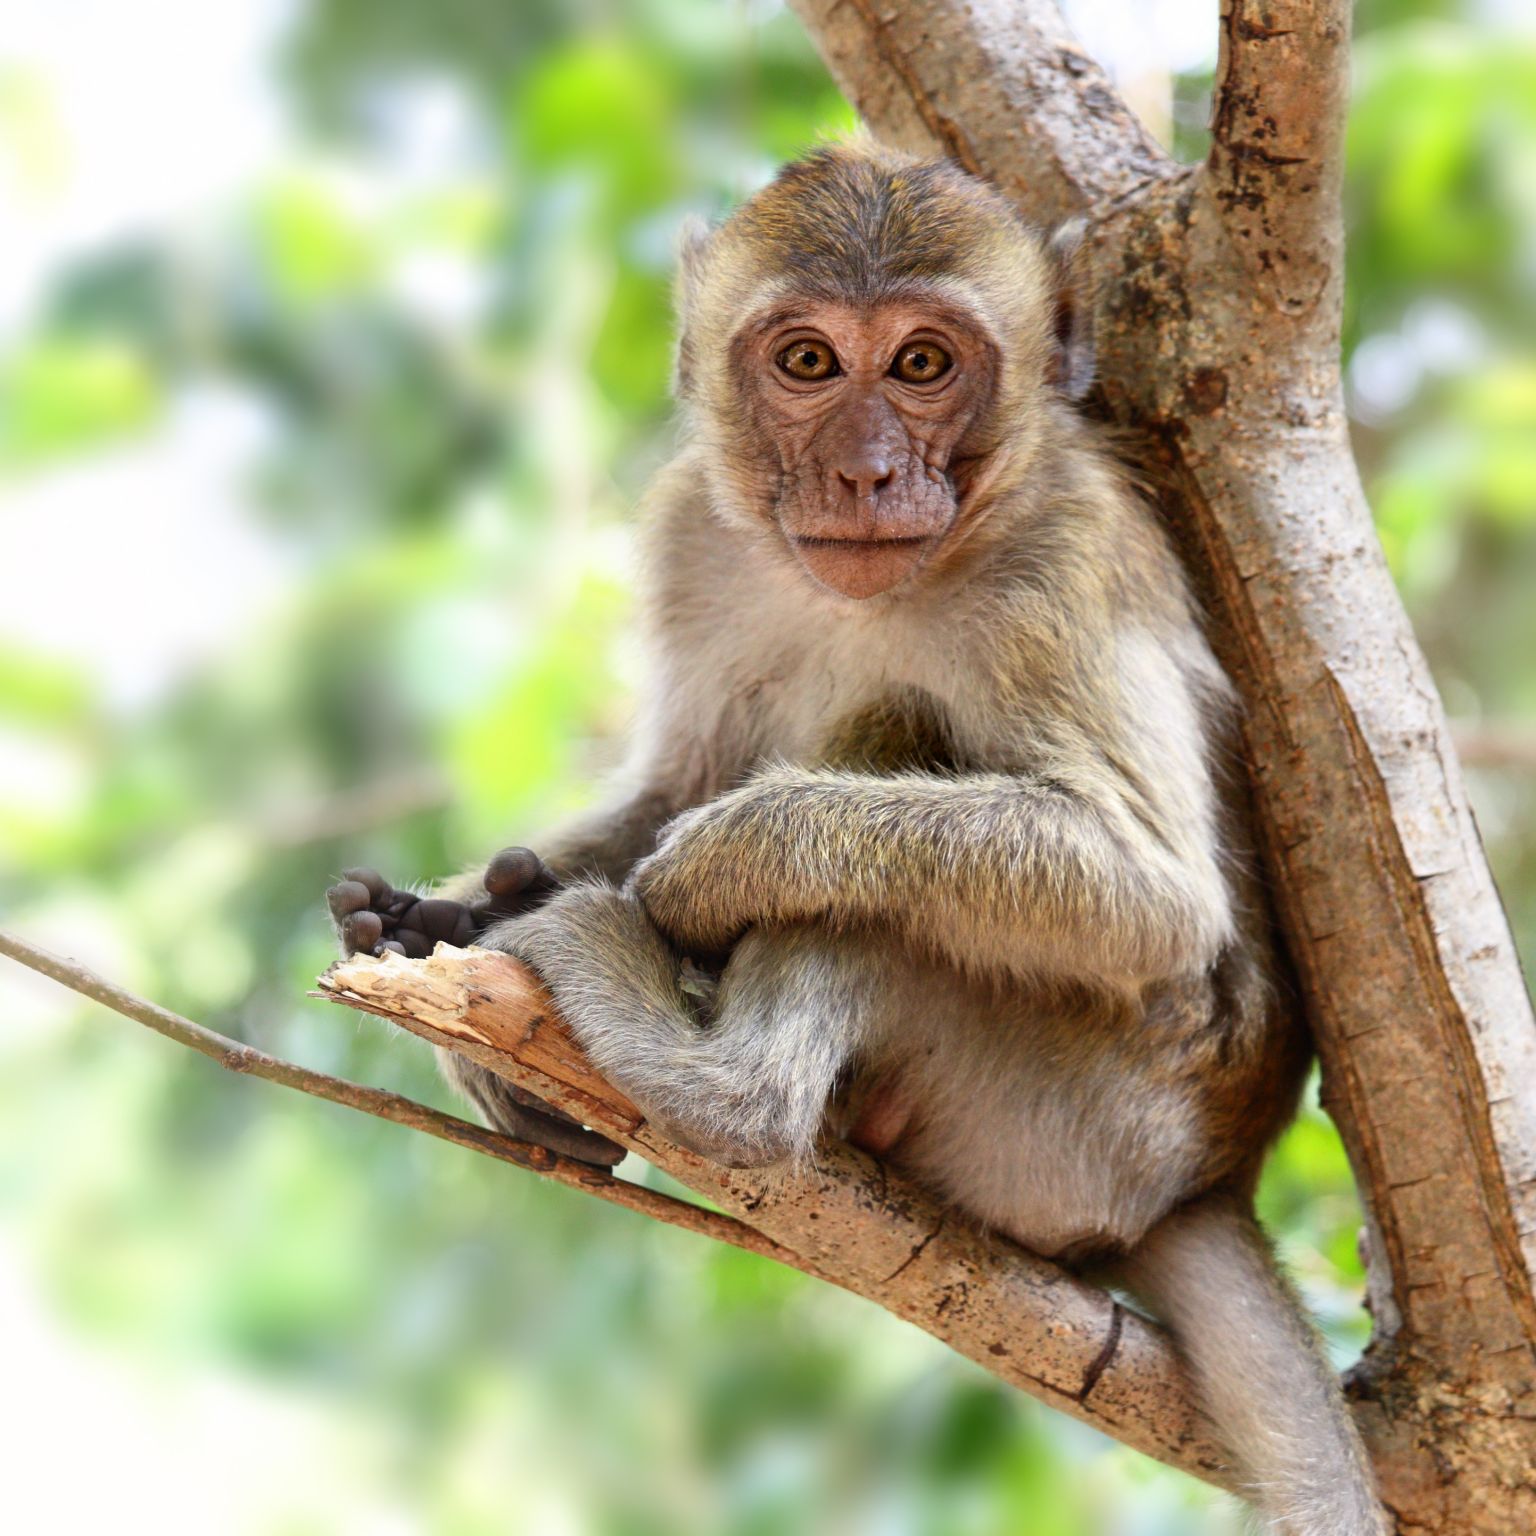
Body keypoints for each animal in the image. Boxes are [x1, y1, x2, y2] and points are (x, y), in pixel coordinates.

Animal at [328, 142, 1387, 1535]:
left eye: (923, 363)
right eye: (810, 361)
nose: (868, 474)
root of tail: (1210, 1177)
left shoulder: (1062, 565)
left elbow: (1150, 895)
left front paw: (711, 869)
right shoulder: (691, 532)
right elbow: (681, 770)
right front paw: (443, 915)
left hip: (1077, 1114)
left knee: (888, 801)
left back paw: (704, 1071)